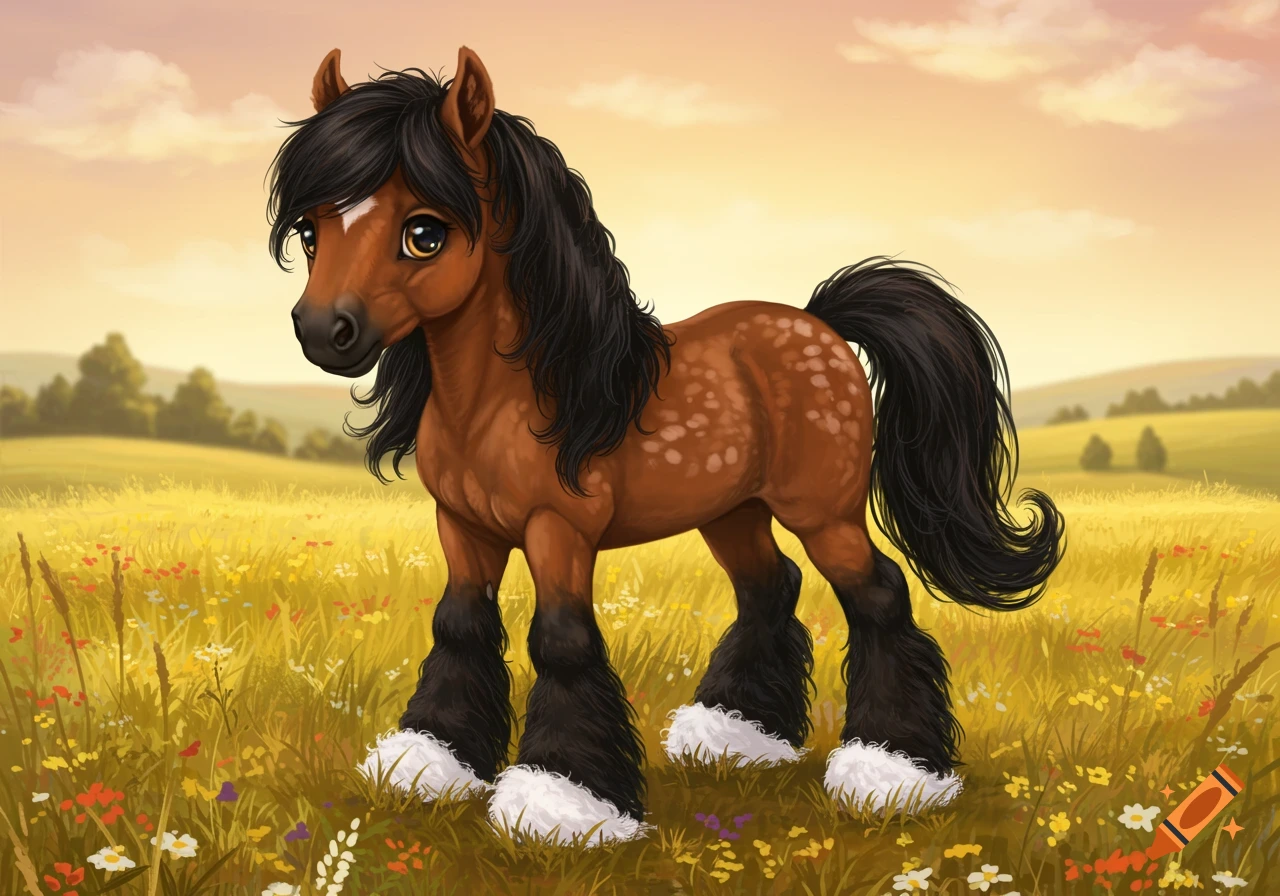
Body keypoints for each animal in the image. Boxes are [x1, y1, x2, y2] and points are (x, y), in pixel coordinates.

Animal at [268, 46, 1065, 845]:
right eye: (309, 231)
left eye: (425, 233)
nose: (322, 332)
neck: (514, 397)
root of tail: (821, 323)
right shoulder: (462, 525)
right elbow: (459, 624)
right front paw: (434, 760)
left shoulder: (559, 531)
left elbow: (561, 639)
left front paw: (564, 800)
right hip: (732, 511)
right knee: (769, 586)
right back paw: (739, 732)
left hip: (823, 512)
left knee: (877, 593)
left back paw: (894, 768)